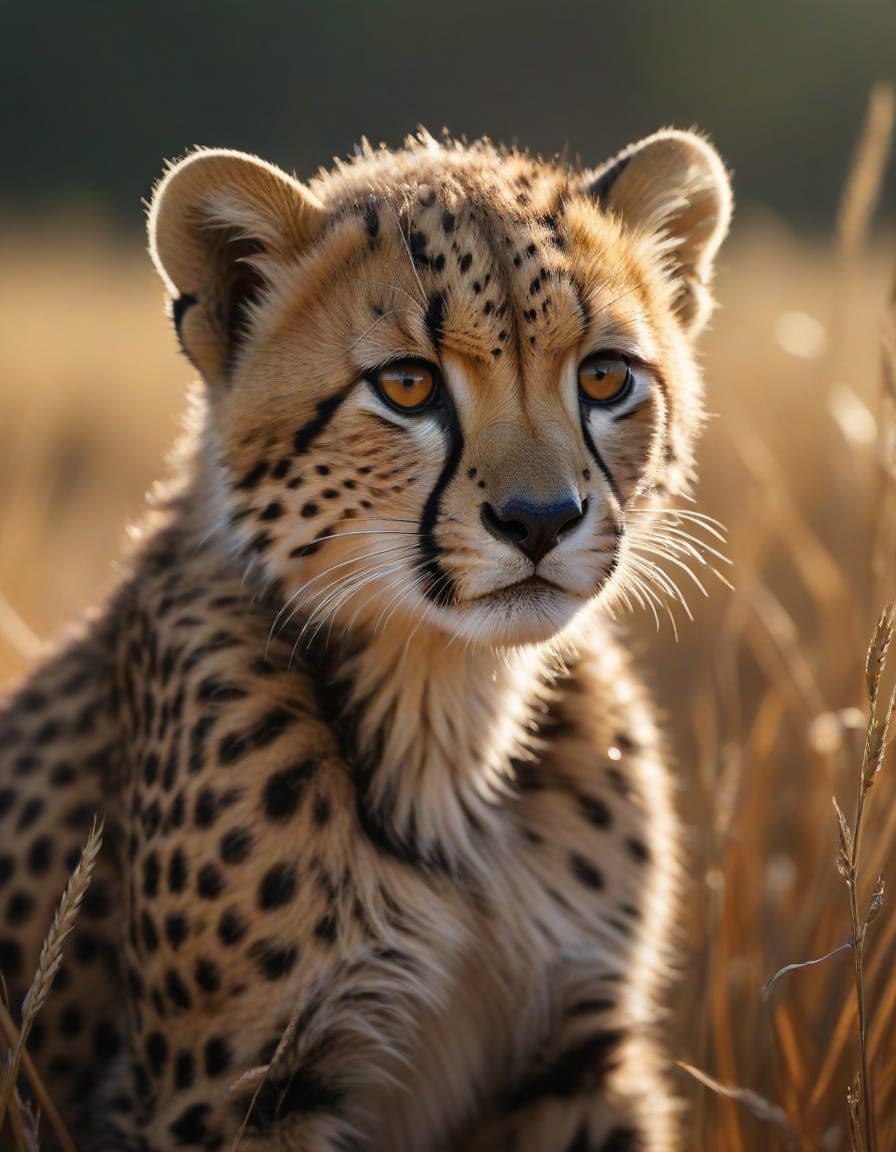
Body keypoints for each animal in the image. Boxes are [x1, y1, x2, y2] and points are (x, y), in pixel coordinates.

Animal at [0, 126, 731, 1152]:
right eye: (408, 386)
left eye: (604, 376)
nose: (541, 520)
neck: (446, 706)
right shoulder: (226, 1094)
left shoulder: (573, 1058)